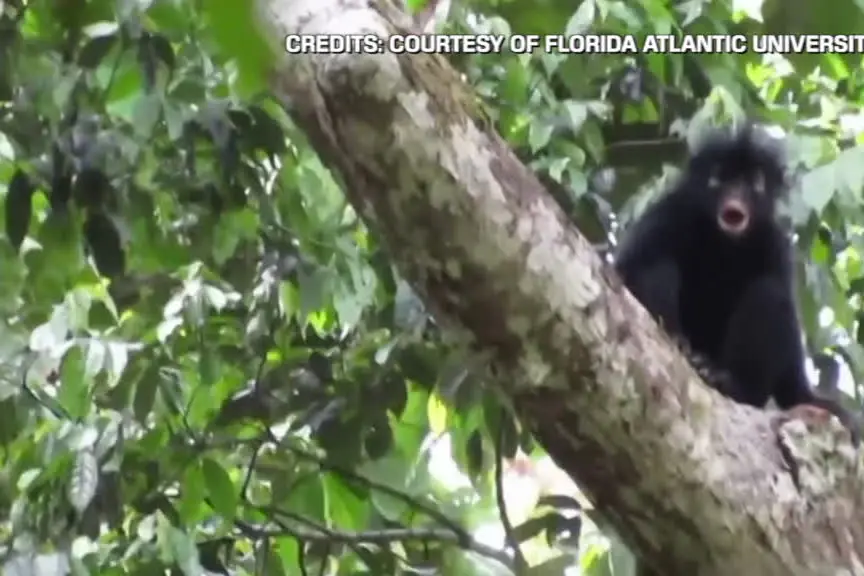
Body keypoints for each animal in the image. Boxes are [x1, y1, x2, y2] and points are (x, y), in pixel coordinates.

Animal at [613, 125, 860, 443]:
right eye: (722, 177)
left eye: (752, 182)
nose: (736, 194)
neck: (724, 243)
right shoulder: (668, 213)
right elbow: (626, 268)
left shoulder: (774, 243)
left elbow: (792, 378)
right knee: (657, 264)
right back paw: (679, 342)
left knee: (770, 293)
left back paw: (729, 383)